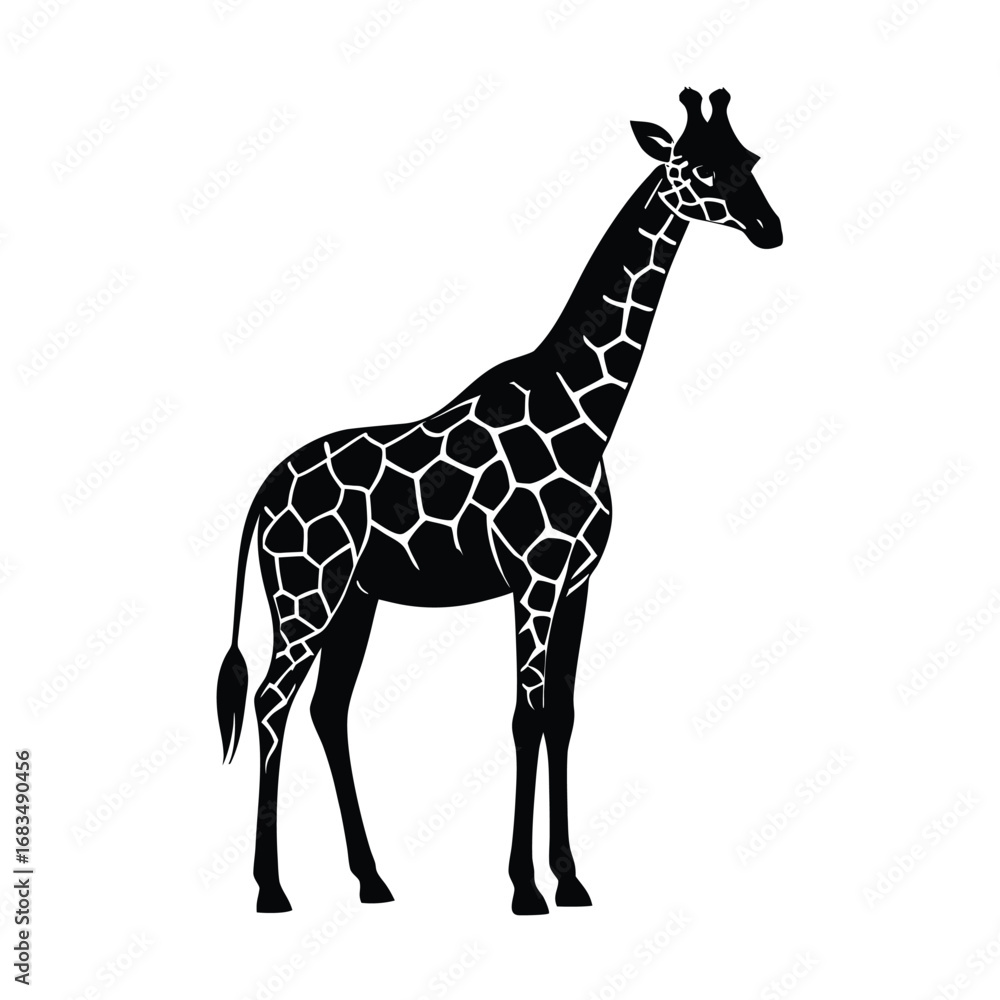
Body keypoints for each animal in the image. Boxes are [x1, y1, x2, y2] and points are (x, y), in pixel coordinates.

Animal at [216, 88, 782, 916]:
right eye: (699, 167)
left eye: (751, 158)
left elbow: (562, 717)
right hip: (304, 594)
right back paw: (270, 889)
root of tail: (261, 493)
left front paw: (571, 880)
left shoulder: (577, 581)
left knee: (327, 709)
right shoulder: (535, 578)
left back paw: (372, 880)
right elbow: (524, 715)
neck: (586, 412)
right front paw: (524, 888)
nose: (771, 228)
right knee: (270, 703)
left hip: (356, 599)